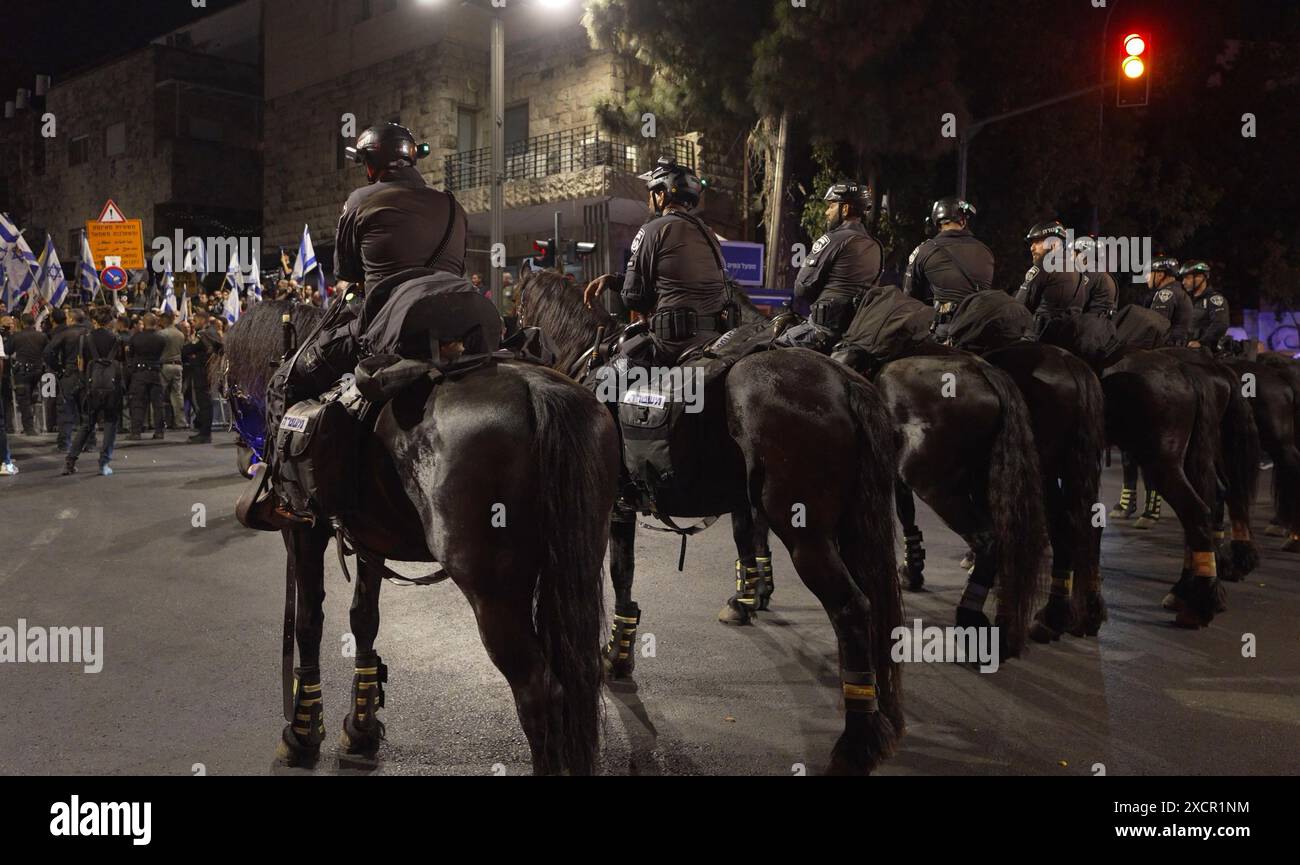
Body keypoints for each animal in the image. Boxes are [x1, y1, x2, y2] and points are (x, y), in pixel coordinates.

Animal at [222, 300, 618, 770]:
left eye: (227, 387)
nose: (248, 457)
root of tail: (536, 390)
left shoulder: (303, 531)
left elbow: (308, 622)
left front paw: (302, 733)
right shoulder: (369, 541)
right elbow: (364, 619)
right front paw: (360, 729)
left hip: (494, 592)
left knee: (539, 692)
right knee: (578, 676)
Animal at [517, 273, 904, 770]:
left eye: (518, 306)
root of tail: (842, 381)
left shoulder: (613, 507)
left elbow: (621, 574)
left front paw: (616, 656)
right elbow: (635, 571)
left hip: (807, 535)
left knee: (852, 608)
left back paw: (857, 744)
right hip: (851, 526)